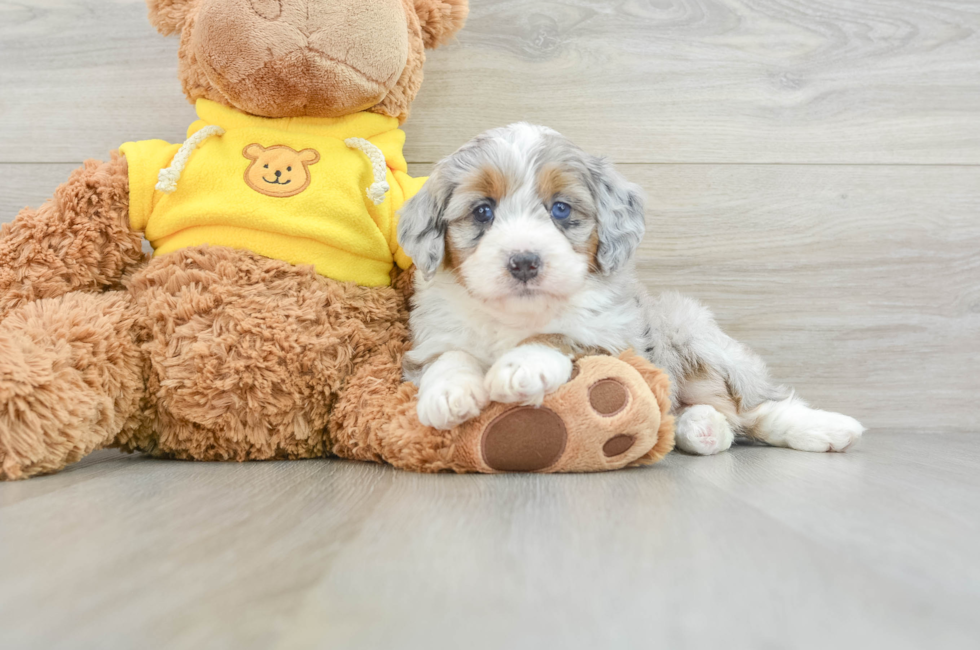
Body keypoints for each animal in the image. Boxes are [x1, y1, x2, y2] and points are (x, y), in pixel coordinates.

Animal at [394, 124, 860, 454]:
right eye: (482, 211)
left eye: (560, 209)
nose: (524, 261)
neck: (516, 316)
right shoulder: (431, 337)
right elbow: (449, 355)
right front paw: (449, 392)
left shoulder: (617, 340)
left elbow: (560, 336)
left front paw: (519, 365)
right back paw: (701, 428)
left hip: (688, 329)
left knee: (751, 408)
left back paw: (826, 427)